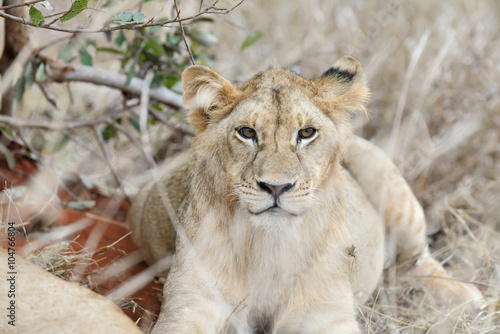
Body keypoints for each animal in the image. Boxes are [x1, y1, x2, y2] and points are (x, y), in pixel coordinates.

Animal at [127, 56, 482, 332]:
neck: (267, 247)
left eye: (307, 133)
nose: (276, 187)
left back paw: (470, 299)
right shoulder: (190, 304)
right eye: (247, 132)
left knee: (420, 261)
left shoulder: (327, 313)